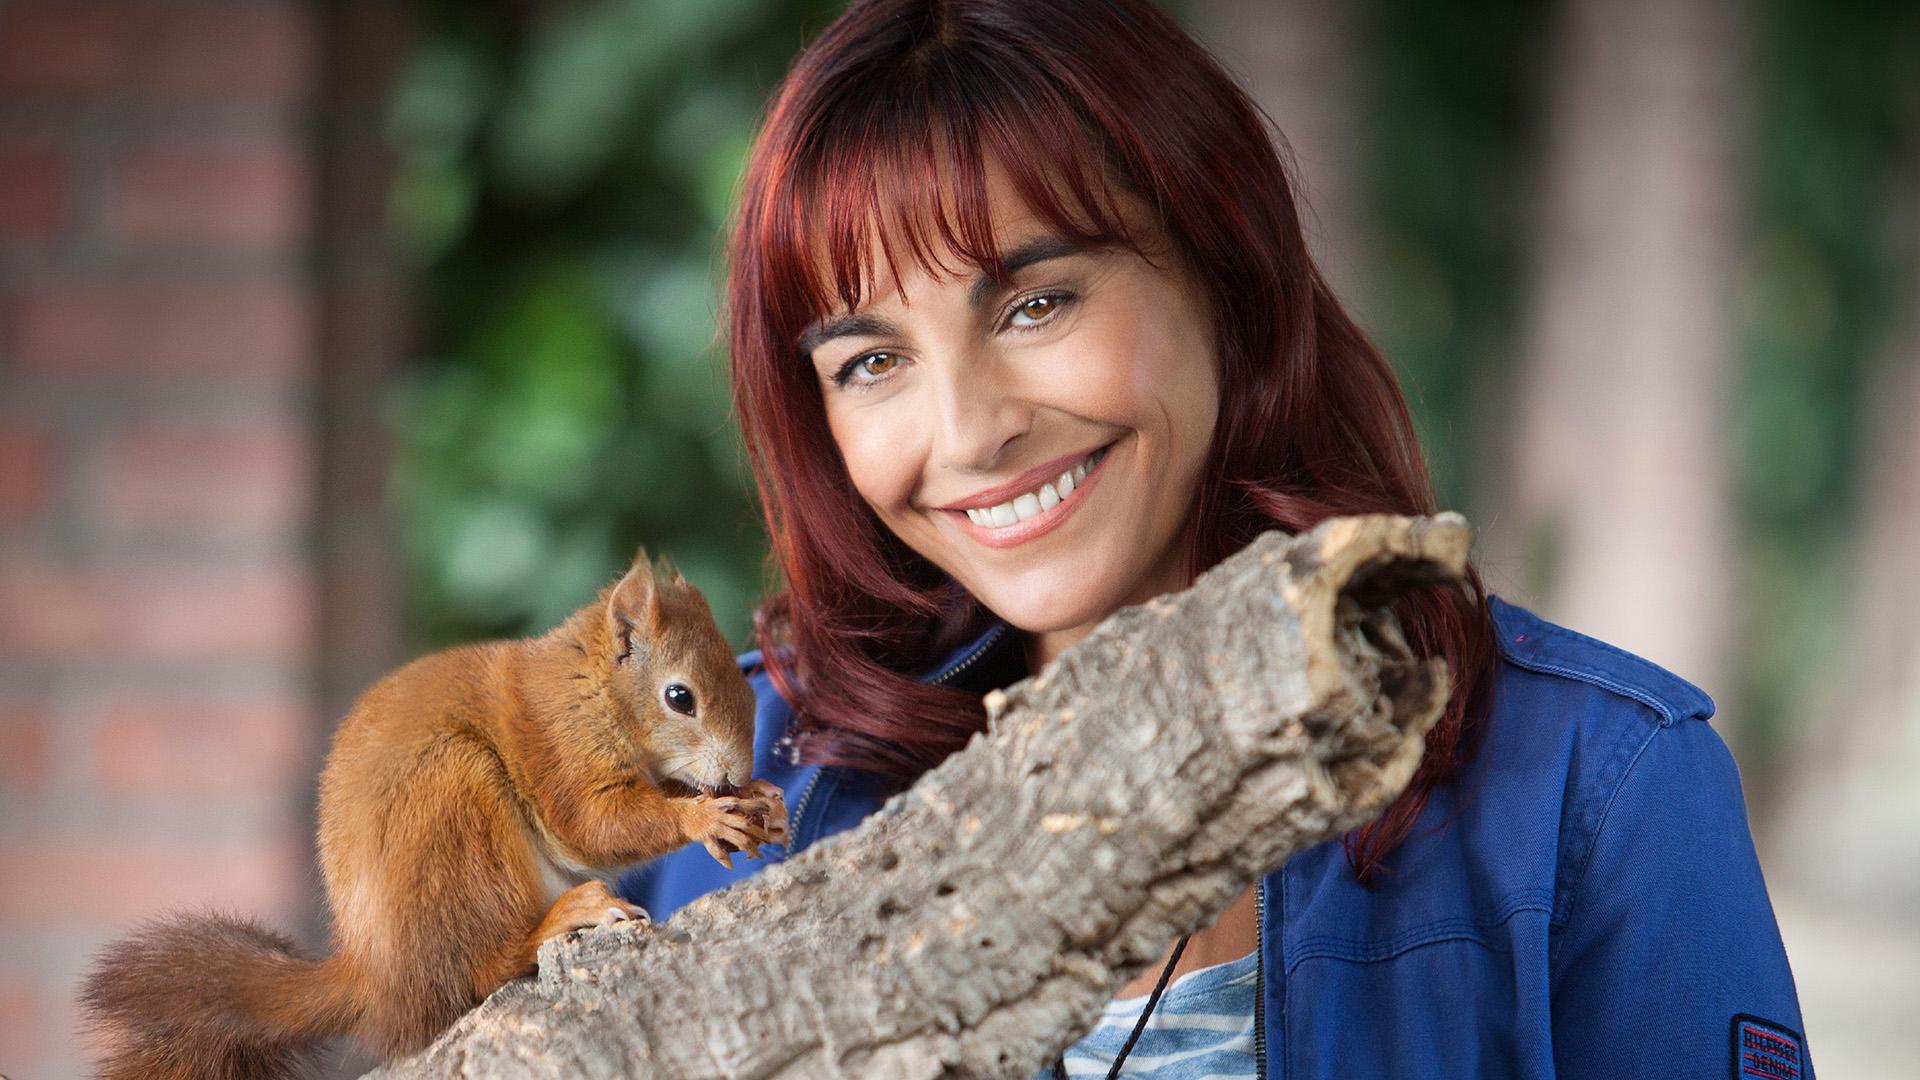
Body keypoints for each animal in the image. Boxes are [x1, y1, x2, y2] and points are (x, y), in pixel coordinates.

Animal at [81, 550, 788, 1079]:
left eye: (745, 682)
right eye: (680, 697)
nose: (733, 772)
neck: (591, 688)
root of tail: (376, 977)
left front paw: (762, 802)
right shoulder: (560, 747)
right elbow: (592, 825)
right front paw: (705, 818)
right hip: (455, 803)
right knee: (474, 972)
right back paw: (562, 917)